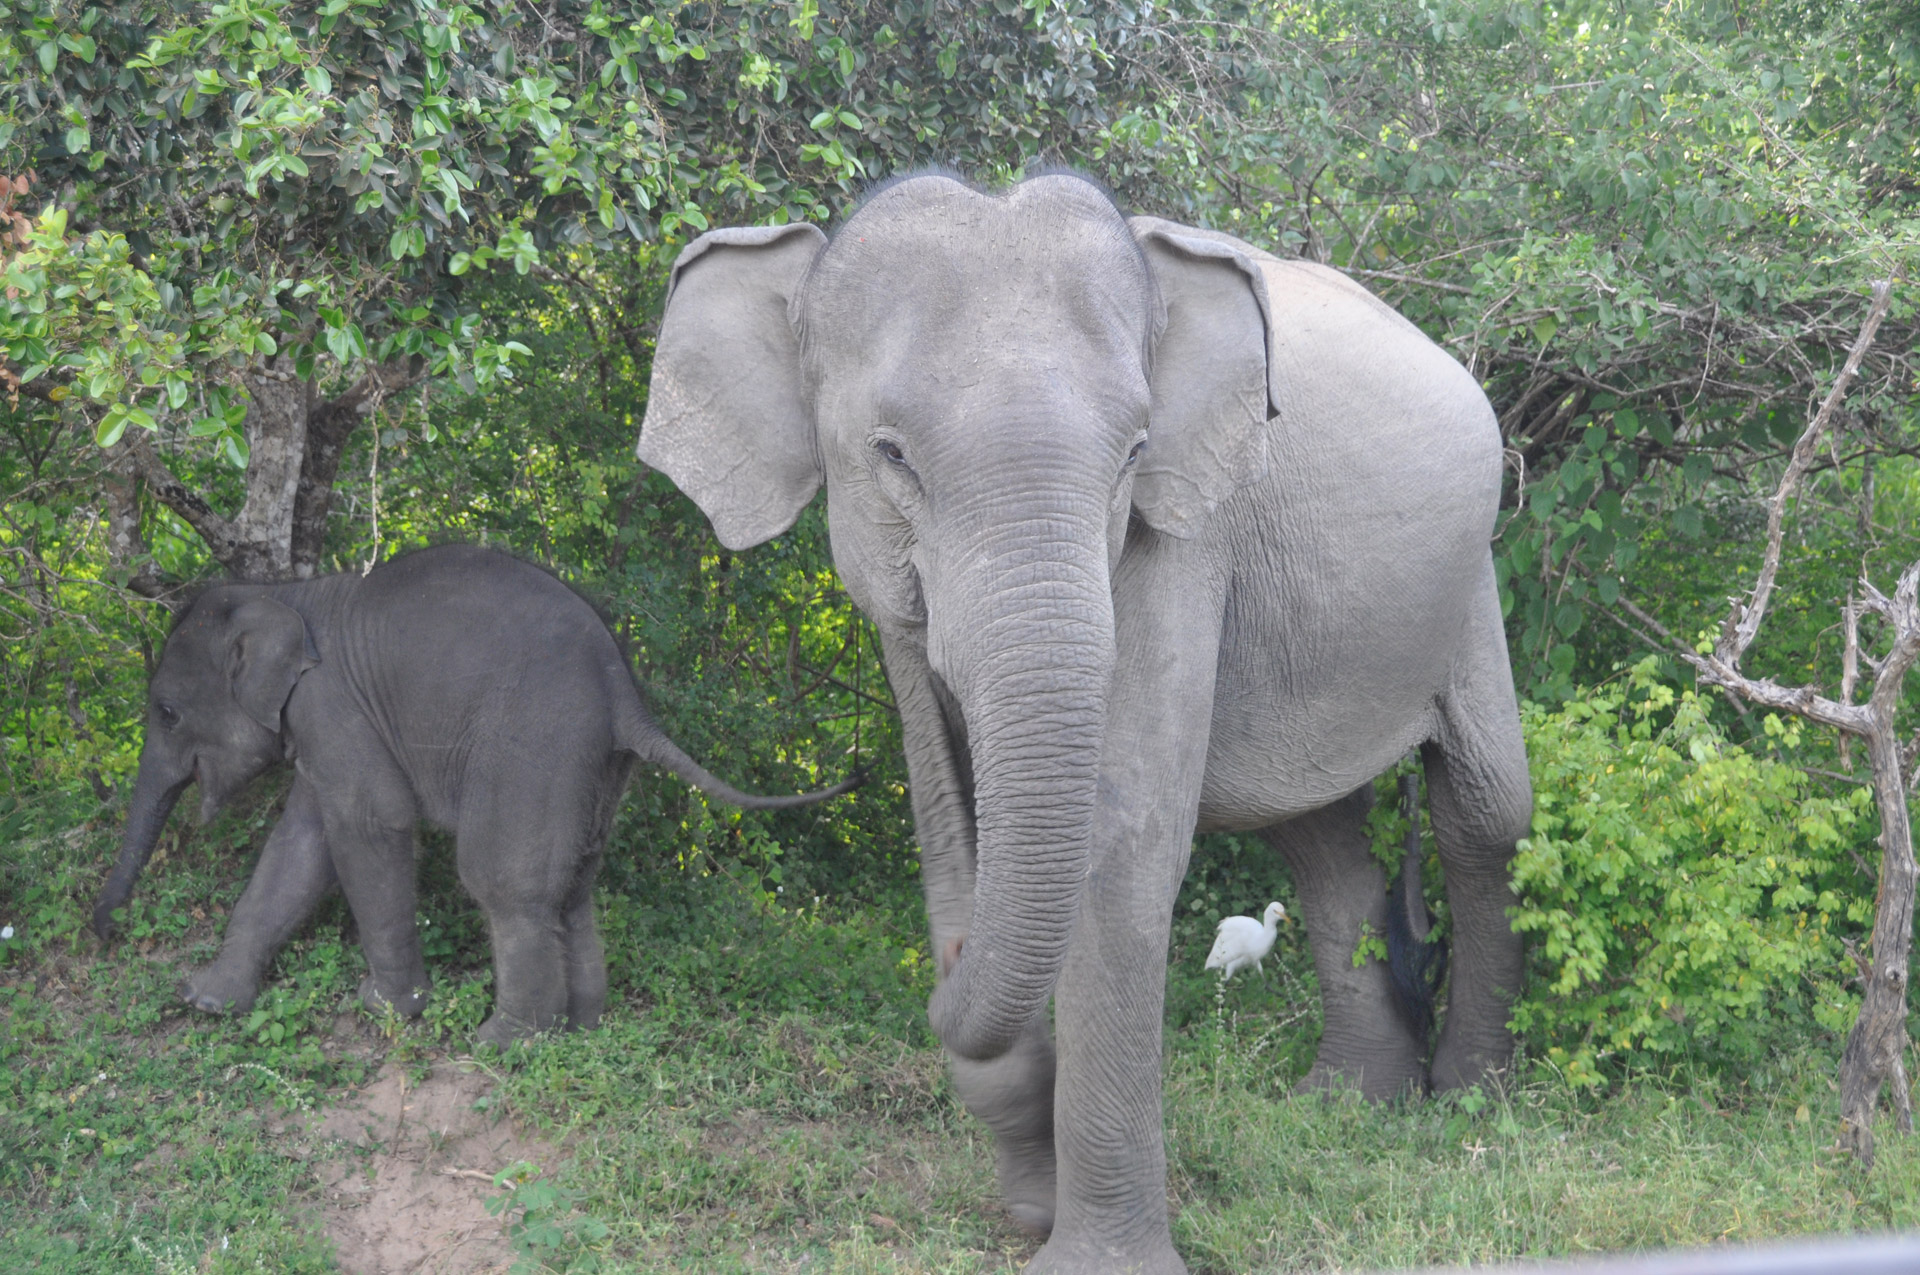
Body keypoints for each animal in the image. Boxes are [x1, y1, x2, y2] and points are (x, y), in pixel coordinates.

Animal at [93, 541, 860, 1044]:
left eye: (166, 712)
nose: (102, 930)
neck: (284, 593)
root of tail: (624, 695)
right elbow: (301, 843)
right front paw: (204, 1001)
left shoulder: (330, 705)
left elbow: (371, 823)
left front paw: (385, 1010)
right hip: (596, 765)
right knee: (571, 887)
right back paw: (579, 1030)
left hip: (535, 742)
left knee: (502, 881)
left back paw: (501, 1043)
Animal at [637, 171, 1536, 1275]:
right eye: (890, 456)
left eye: (1135, 451)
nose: (944, 969)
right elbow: (946, 819)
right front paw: (1027, 1205)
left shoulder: (1183, 529)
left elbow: (1122, 845)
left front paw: (1088, 1257)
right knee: (1319, 841)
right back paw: (1350, 1107)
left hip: (1473, 576)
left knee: (1483, 812)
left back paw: (1468, 1102)